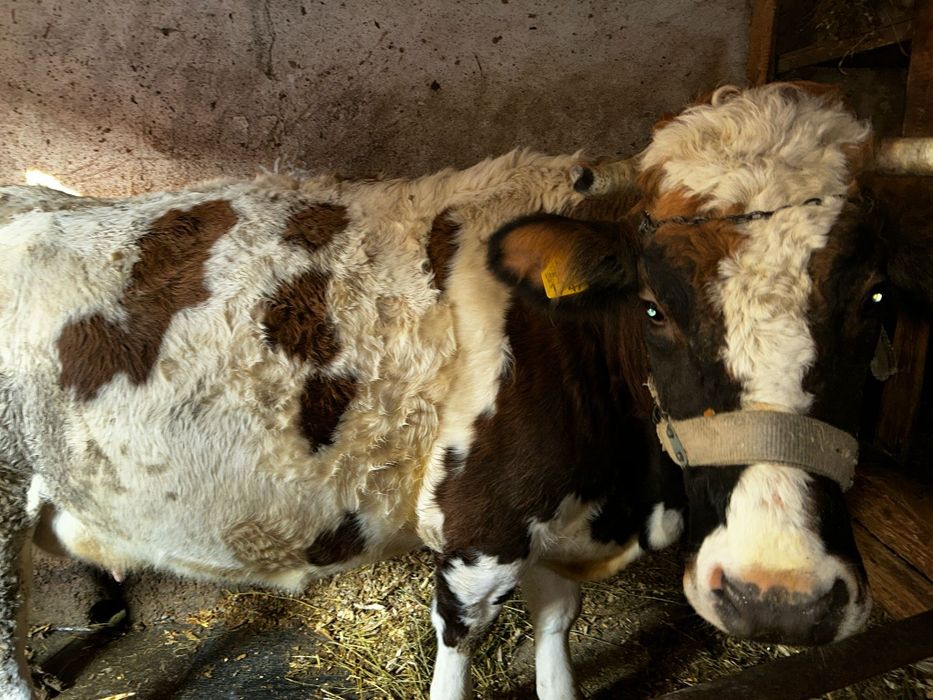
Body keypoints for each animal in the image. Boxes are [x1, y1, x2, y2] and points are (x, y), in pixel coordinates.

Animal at [0, 82, 930, 700]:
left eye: (877, 298)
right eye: (653, 307)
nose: (778, 596)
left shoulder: (554, 524)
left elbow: (557, 628)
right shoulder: (476, 531)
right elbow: (460, 646)